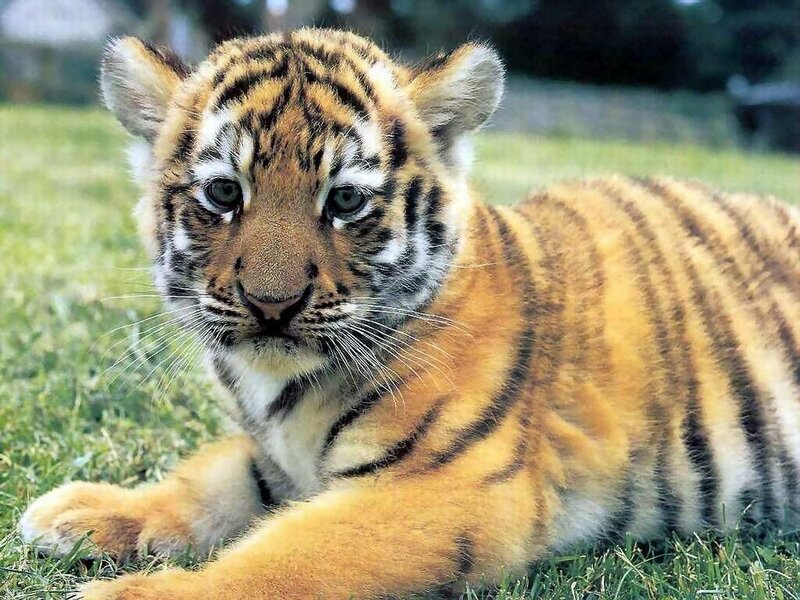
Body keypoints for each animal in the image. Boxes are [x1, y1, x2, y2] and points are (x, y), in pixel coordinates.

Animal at [19, 27, 800, 600]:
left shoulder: (441, 487)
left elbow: (282, 560)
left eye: (344, 200)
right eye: (223, 193)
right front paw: (82, 511)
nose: (273, 305)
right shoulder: (275, 457)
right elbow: (208, 480)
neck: (282, 389)